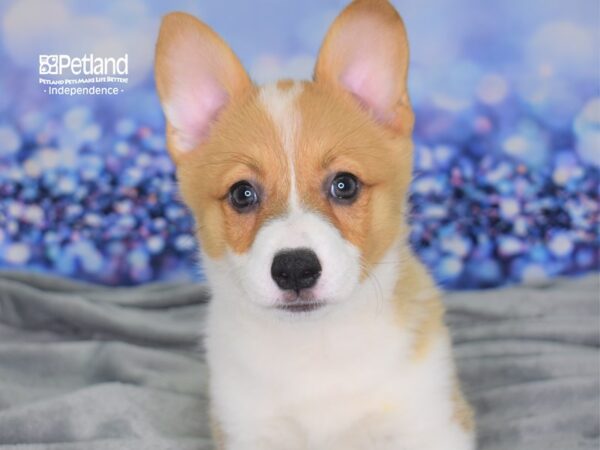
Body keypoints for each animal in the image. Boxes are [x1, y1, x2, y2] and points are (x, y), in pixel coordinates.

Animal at [155, 0, 474, 446]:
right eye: (241, 194)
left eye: (345, 184)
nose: (294, 269)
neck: (315, 346)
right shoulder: (248, 431)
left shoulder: (432, 424)